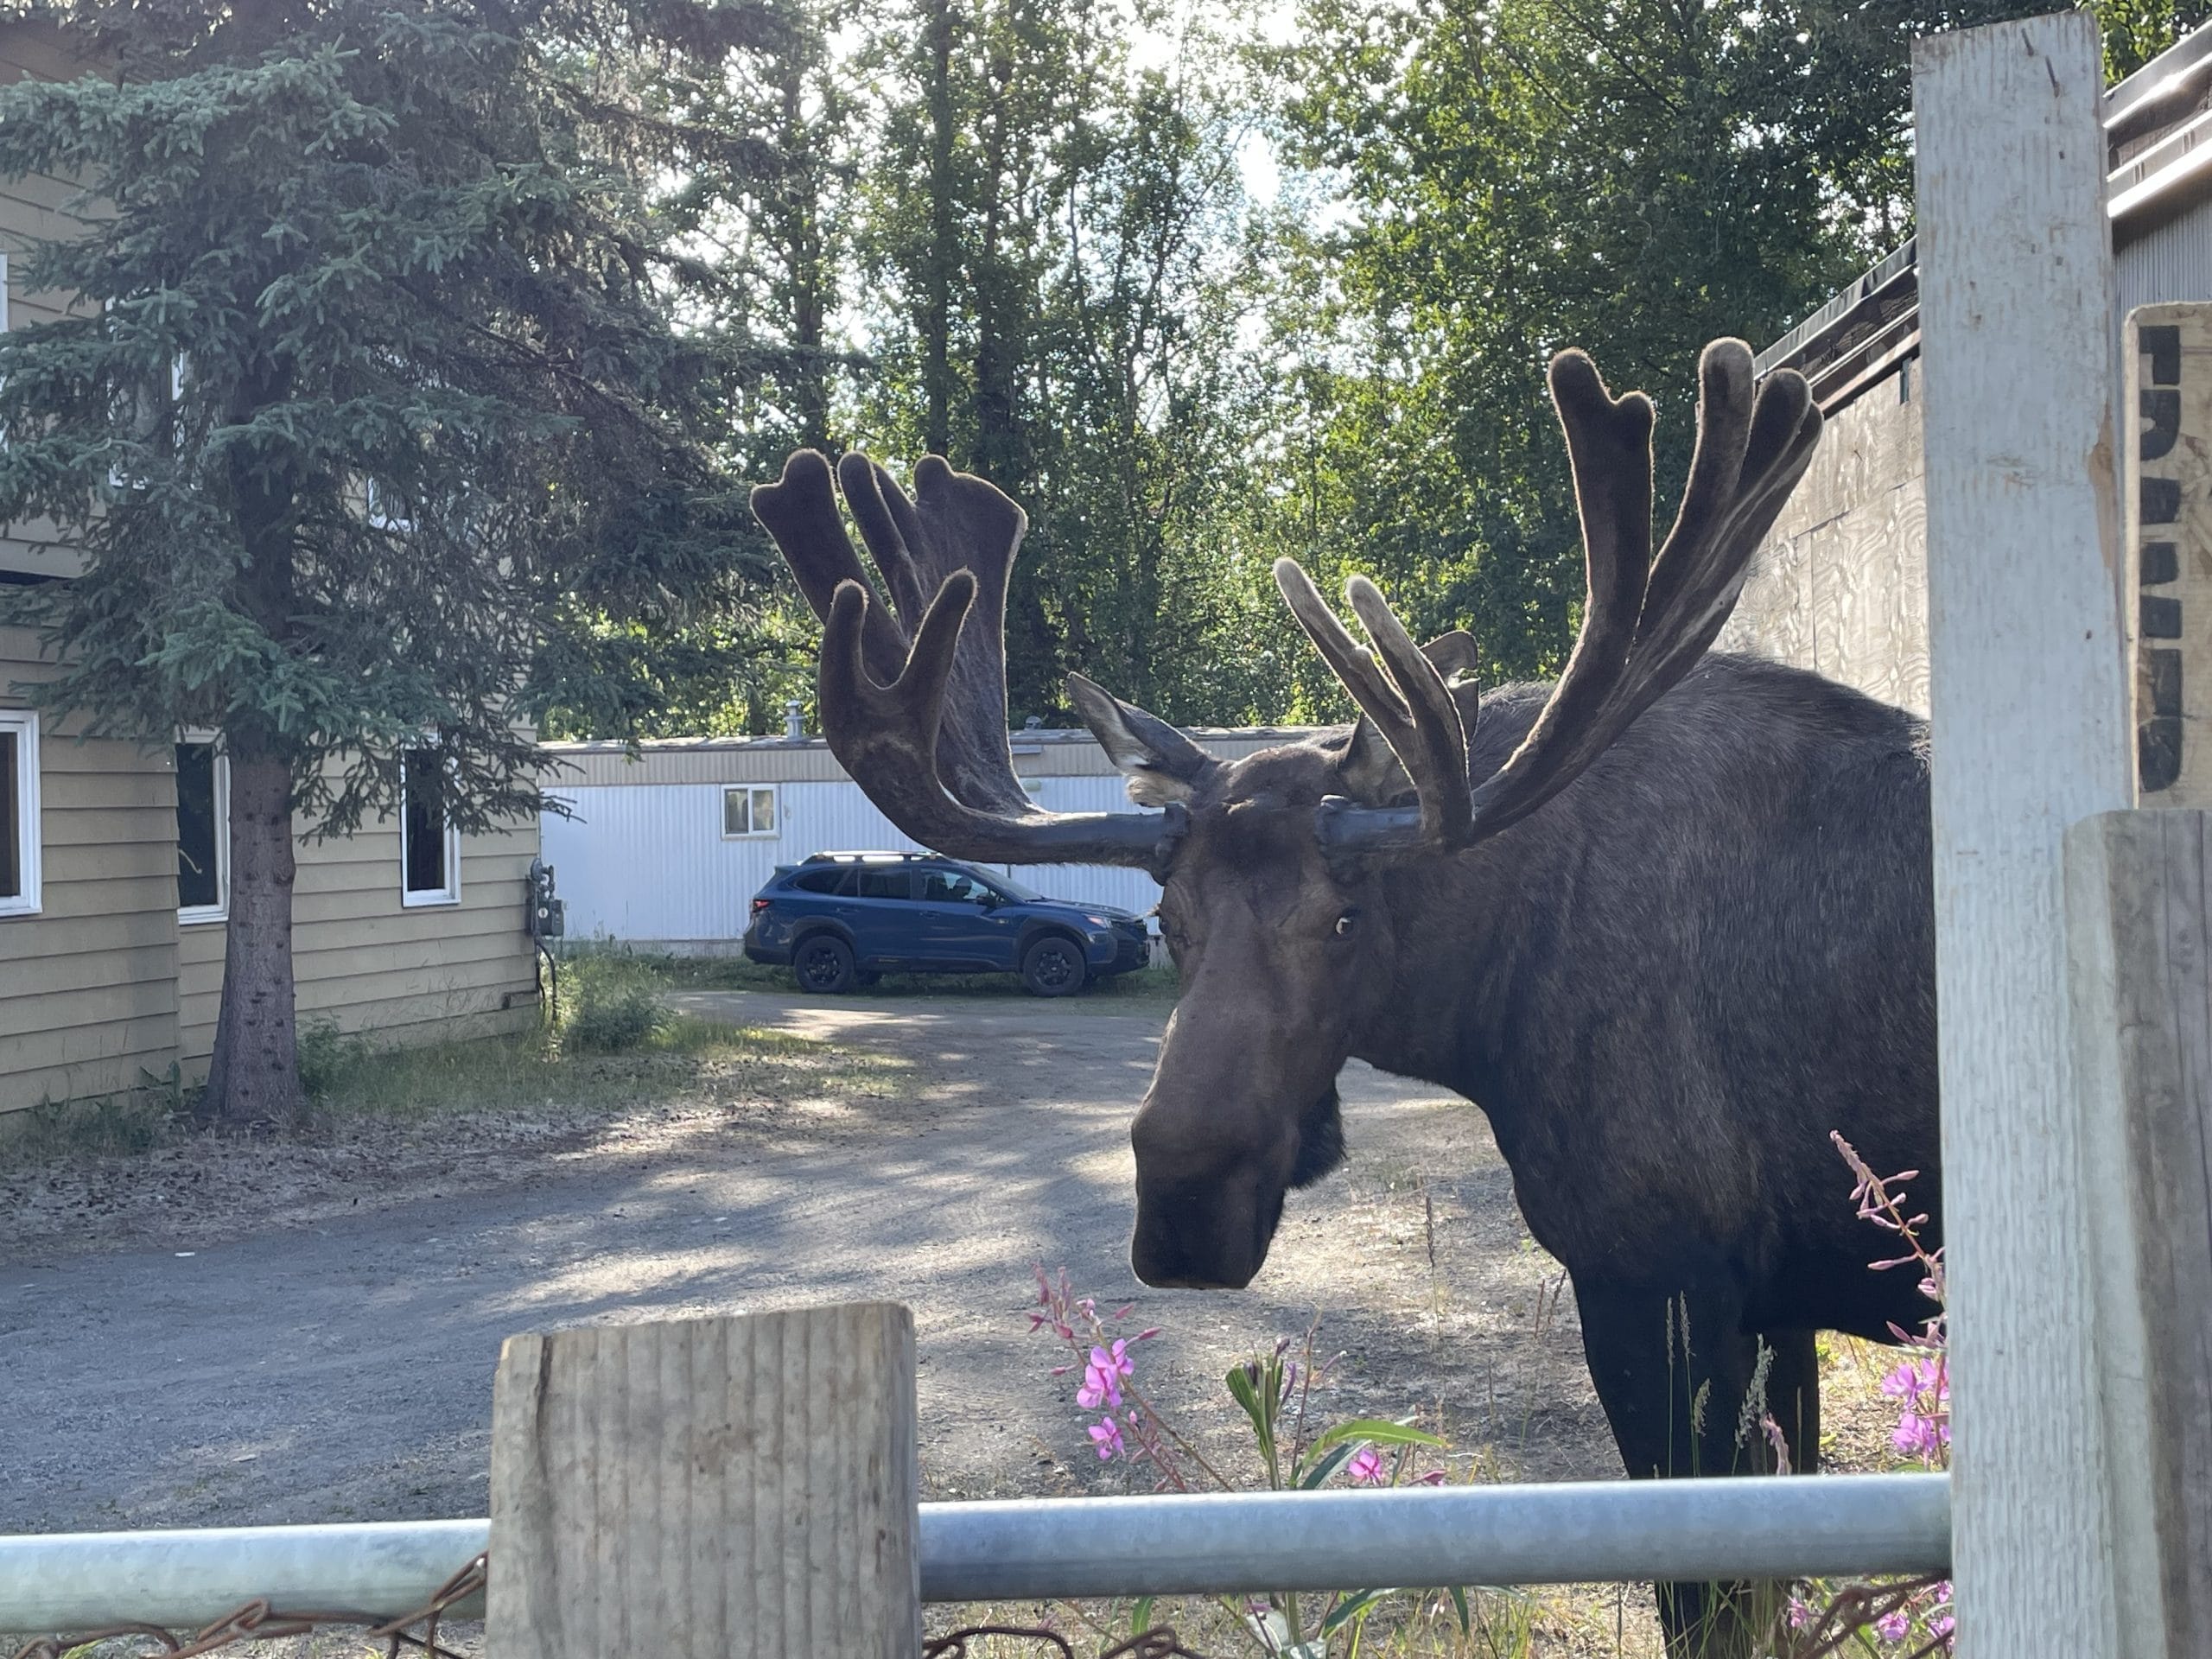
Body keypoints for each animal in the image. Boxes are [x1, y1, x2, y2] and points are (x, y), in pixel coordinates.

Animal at [752, 338, 1940, 1658]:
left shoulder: (1663, 1277)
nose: (1182, 1208)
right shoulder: (1773, 1304)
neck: (1489, 1010)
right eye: (1167, 920)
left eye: (1346, 918)